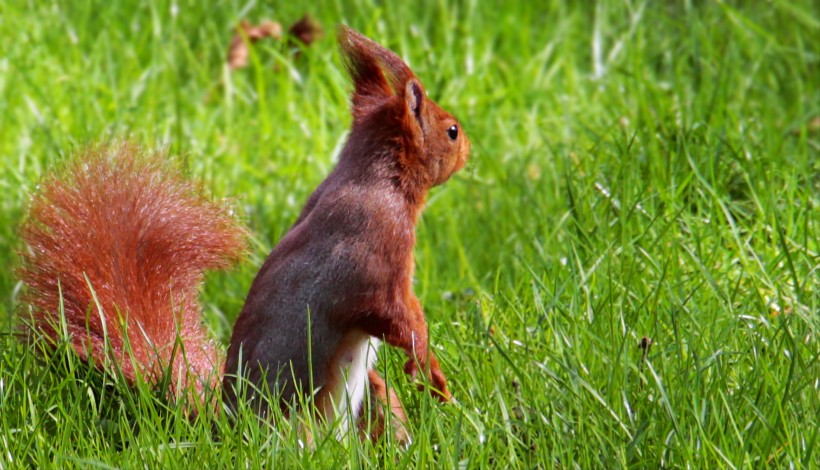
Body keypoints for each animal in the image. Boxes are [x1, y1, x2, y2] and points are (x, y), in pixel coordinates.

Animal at [16, 26, 470, 440]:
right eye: (451, 131)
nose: (468, 149)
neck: (377, 177)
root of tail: (231, 430)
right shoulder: (376, 249)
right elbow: (398, 316)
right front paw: (432, 371)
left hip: (369, 404)